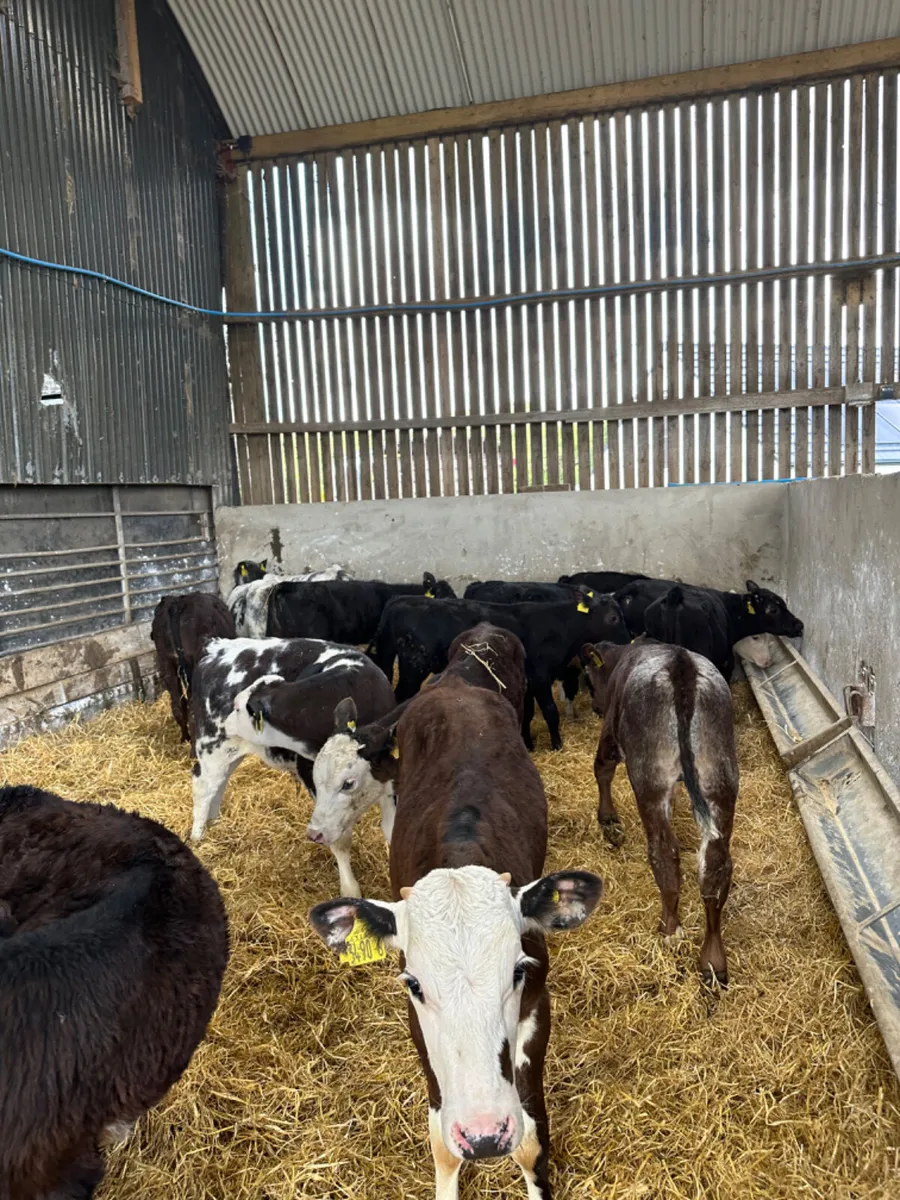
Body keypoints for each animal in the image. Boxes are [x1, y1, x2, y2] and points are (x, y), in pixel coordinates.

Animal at [189, 638, 395, 841]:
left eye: (238, 708)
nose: (227, 722)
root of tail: (216, 648)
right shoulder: (310, 772)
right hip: (212, 749)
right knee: (204, 786)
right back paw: (198, 836)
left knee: (219, 784)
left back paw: (214, 823)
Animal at [309, 675, 603, 1199]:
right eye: (415, 985)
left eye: (516, 972)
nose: (484, 1134)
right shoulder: (417, 1026)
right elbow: (442, 1144)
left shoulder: (537, 1007)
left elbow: (530, 1140)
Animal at [368, 589, 630, 750]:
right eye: (614, 618)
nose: (628, 640)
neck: (560, 627)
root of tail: (399, 601)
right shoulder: (540, 678)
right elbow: (550, 711)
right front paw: (557, 745)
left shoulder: (525, 682)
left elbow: (527, 713)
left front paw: (528, 743)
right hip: (414, 667)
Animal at [581, 639, 738, 984]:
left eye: (589, 680)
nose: (595, 706)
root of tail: (681, 665)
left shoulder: (610, 734)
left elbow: (602, 769)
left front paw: (609, 823)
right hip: (720, 777)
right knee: (716, 863)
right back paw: (713, 960)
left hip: (648, 777)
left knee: (664, 851)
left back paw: (669, 928)